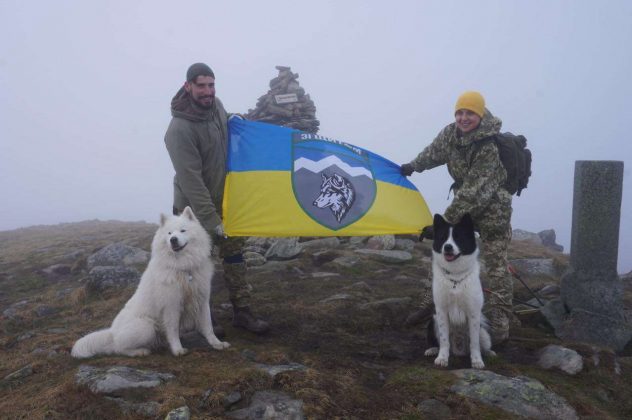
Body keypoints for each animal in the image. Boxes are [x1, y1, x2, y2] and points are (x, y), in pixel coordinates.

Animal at [71, 207, 230, 358]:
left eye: (182, 230)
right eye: (169, 233)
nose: (173, 239)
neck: (184, 268)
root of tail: (111, 332)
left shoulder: (202, 300)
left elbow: (208, 326)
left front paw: (217, 343)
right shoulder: (171, 306)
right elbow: (173, 331)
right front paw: (177, 350)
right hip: (146, 327)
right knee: (118, 348)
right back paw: (140, 351)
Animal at [424, 213, 494, 368]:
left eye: (458, 238)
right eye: (443, 238)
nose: (447, 247)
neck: (455, 277)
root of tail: (459, 349)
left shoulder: (473, 313)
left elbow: (474, 342)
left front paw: (477, 361)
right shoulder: (441, 311)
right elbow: (444, 340)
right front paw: (442, 358)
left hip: (483, 332)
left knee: (482, 344)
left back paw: (488, 353)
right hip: (433, 320)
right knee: (439, 342)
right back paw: (432, 349)